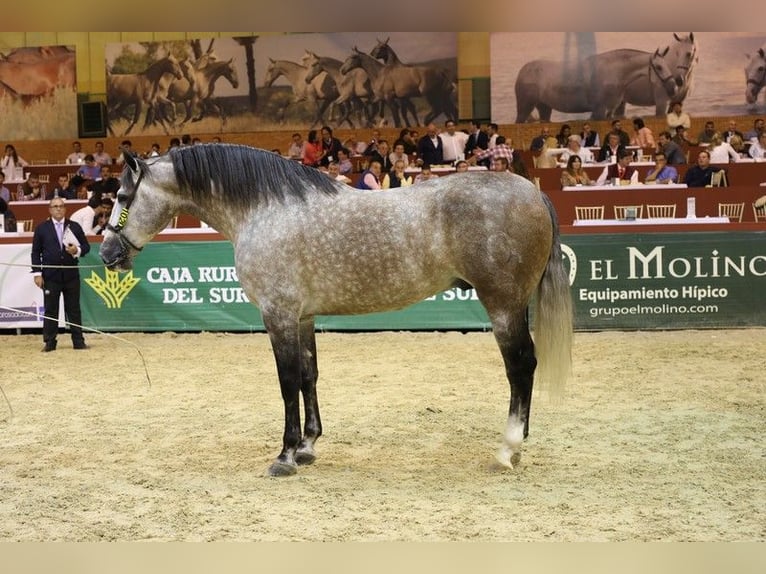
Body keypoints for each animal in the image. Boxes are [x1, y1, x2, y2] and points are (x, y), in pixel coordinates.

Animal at [99, 144, 572, 476]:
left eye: (122, 195)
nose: (105, 253)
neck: (264, 210)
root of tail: (534, 191)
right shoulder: (303, 317)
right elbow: (309, 376)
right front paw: (308, 447)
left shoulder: (278, 315)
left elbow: (287, 381)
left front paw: (285, 455)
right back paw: (519, 440)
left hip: (502, 305)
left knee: (520, 366)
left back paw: (507, 449)